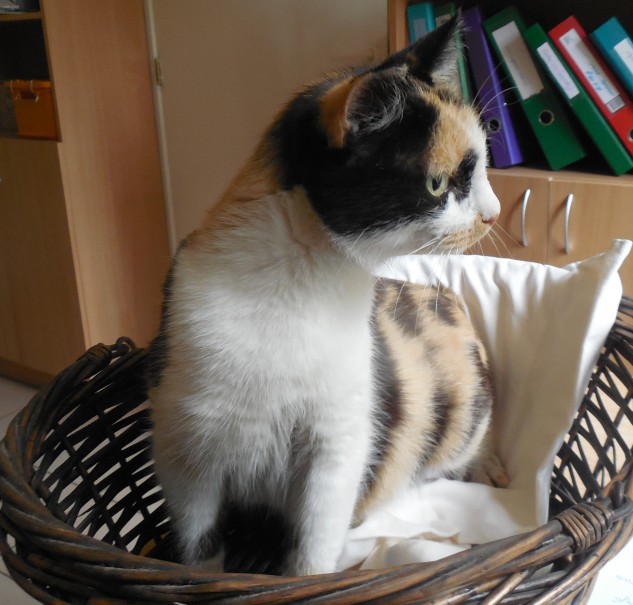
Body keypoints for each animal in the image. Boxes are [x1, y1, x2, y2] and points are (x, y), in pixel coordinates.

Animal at [147, 14, 501, 577]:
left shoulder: (338, 442)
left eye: (485, 164)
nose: (494, 213)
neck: (300, 277)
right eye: (436, 183)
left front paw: (307, 577)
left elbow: (315, 540)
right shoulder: (185, 451)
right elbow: (200, 548)